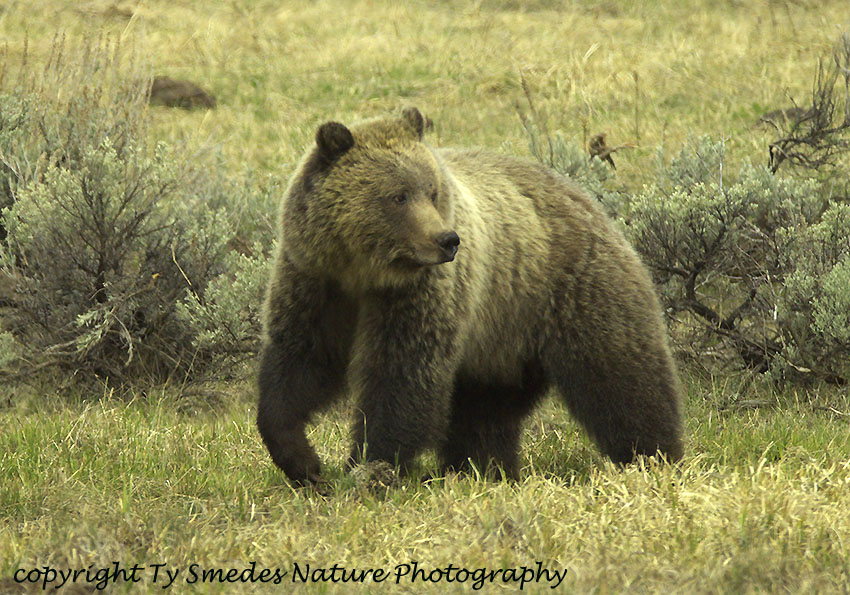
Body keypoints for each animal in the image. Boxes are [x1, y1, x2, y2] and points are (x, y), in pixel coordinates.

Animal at [257, 107, 684, 484]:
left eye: (431, 191)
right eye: (398, 196)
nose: (446, 240)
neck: (366, 273)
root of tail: (589, 201)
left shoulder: (420, 294)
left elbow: (403, 376)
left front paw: (371, 466)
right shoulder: (315, 281)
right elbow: (300, 363)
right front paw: (303, 461)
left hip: (571, 292)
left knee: (623, 379)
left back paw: (654, 456)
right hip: (500, 342)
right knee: (484, 413)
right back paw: (481, 468)